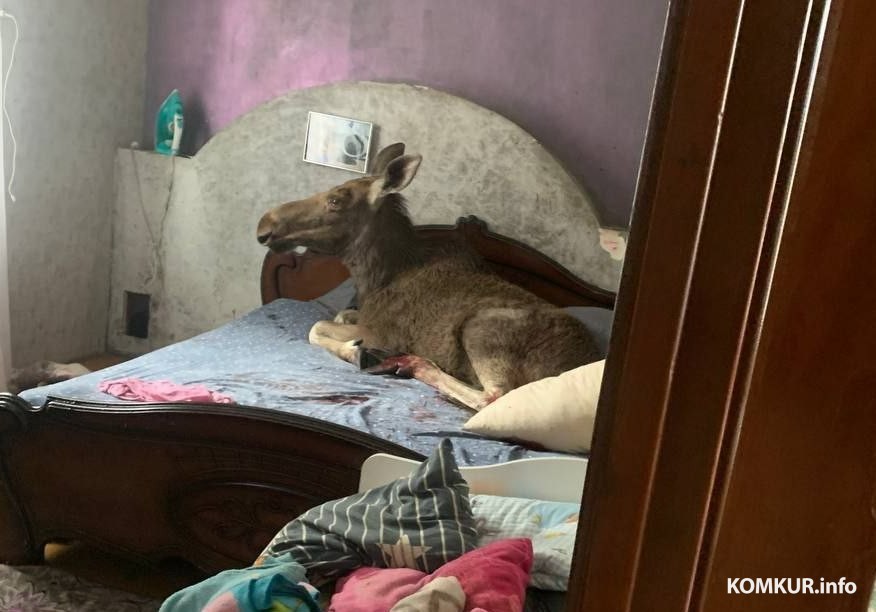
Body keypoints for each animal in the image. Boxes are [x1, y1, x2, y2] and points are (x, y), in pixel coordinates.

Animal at [256, 144, 601, 411]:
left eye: (336, 200)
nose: (264, 224)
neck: (375, 278)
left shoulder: (379, 332)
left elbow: (316, 327)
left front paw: (354, 350)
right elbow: (339, 314)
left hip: (481, 330)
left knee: (493, 397)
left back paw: (413, 364)